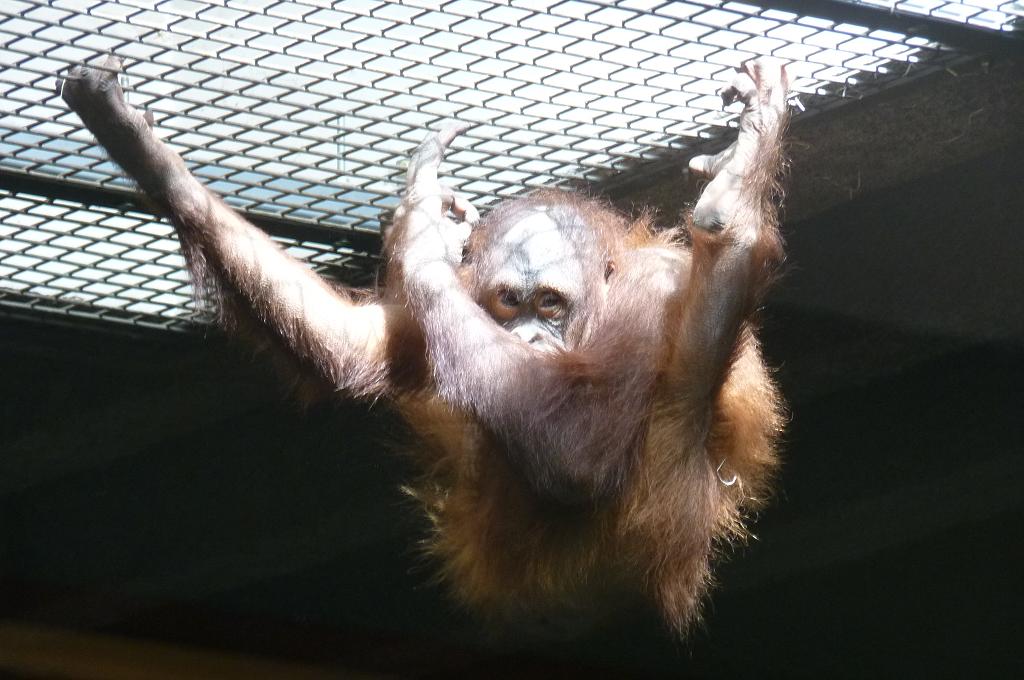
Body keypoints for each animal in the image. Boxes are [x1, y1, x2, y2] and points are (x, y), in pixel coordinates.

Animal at [59, 55, 788, 634]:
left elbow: (583, 449)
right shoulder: (441, 314)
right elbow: (355, 346)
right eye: (508, 303)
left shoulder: (653, 293)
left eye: (551, 304)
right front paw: (146, 154)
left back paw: (730, 214)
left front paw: (418, 238)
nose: (527, 336)